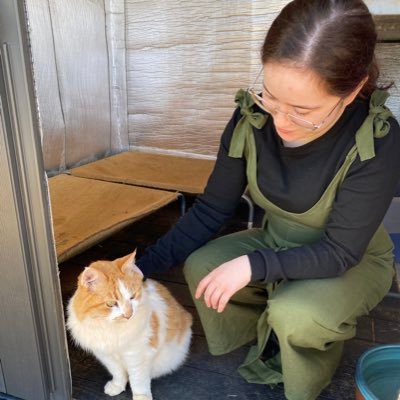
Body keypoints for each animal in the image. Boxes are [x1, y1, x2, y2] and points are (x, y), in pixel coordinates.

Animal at [66, 252, 193, 398]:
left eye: (132, 297)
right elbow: (118, 374)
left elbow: (138, 381)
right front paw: (117, 387)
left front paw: (141, 397)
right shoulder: (106, 357)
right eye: (111, 304)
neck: (112, 329)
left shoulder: (137, 357)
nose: (128, 314)